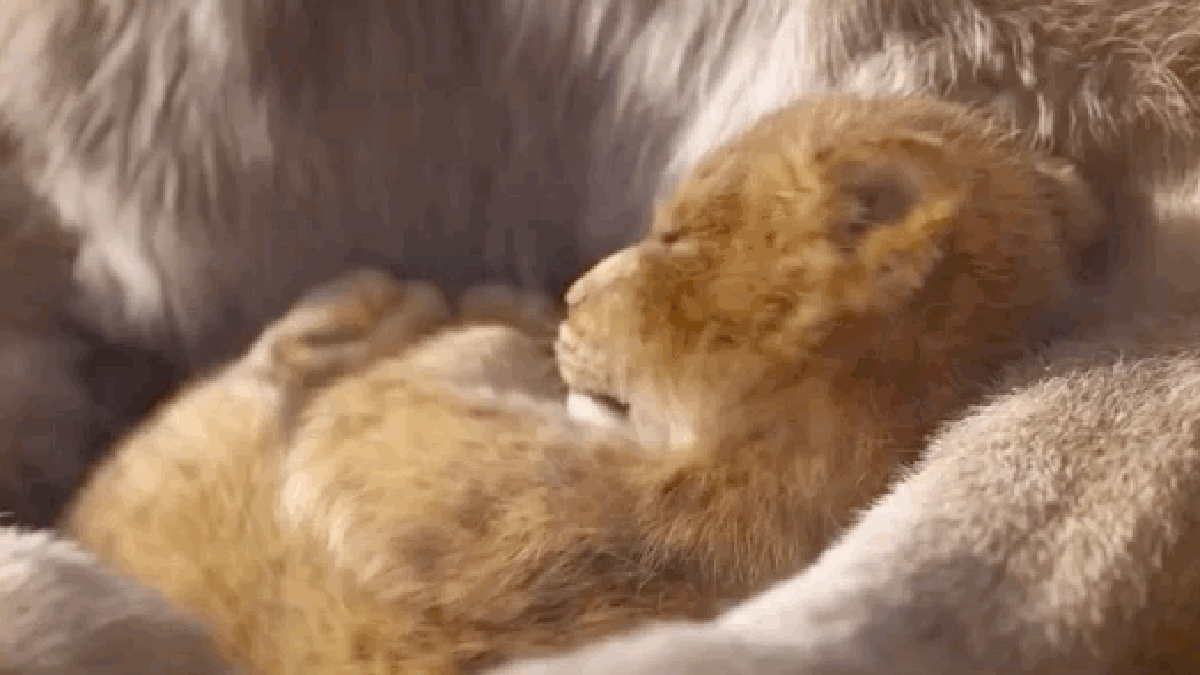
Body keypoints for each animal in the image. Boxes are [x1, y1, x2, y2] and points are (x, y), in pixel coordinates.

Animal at [61, 94, 1105, 674]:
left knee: (280, 362)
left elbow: (403, 391)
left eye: (673, 238)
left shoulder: (450, 488)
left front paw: (487, 319)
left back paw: (380, 301)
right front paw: (508, 311)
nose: (567, 289)